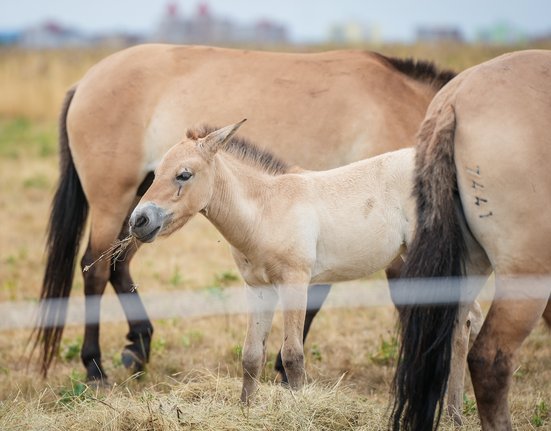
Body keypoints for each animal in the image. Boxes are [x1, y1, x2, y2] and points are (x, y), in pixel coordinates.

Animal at [36, 44, 454, 382]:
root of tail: (85, 82)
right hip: (116, 202)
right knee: (94, 269)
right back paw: (95, 368)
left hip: (141, 210)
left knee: (118, 264)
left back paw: (137, 349)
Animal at [129, 122, 478, 404]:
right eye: (154, 174)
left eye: (184, 175)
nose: (138, 221)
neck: (267, 209)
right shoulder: (258, 288)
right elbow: (251, 355)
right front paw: (246, 409)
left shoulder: (295, 283)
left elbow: (293, 355)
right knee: (468, 319)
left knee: (460, 324)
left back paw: (453, 413)